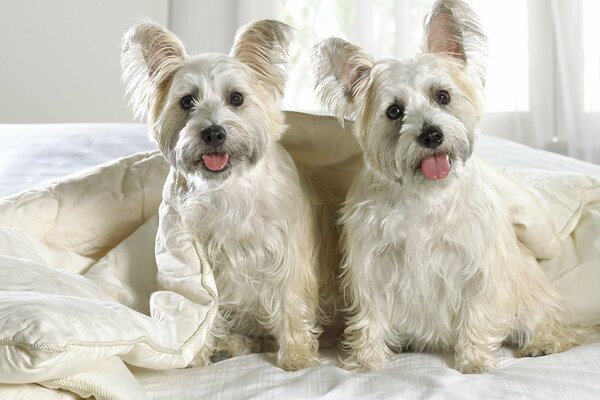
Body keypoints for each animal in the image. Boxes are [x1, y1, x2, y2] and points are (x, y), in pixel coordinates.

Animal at [120, 18, 336, 368]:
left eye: (236, 98)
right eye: (187, 101)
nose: (213, 133)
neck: (226, 186)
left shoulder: (287, 256)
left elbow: (290, 305)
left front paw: (297, 357)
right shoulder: (197, 261)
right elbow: (203, 310)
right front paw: (197, 353)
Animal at [312, 0, 584, 374]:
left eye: (442, 96)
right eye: (394, 111)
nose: (431, 135)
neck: (425, 195)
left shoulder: (476, 266)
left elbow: (476, 312)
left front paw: (475, 360)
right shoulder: (373, 265)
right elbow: (371, 316)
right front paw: (367, 361)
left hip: (529, 291)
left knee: (550, 321)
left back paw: (543, 342)